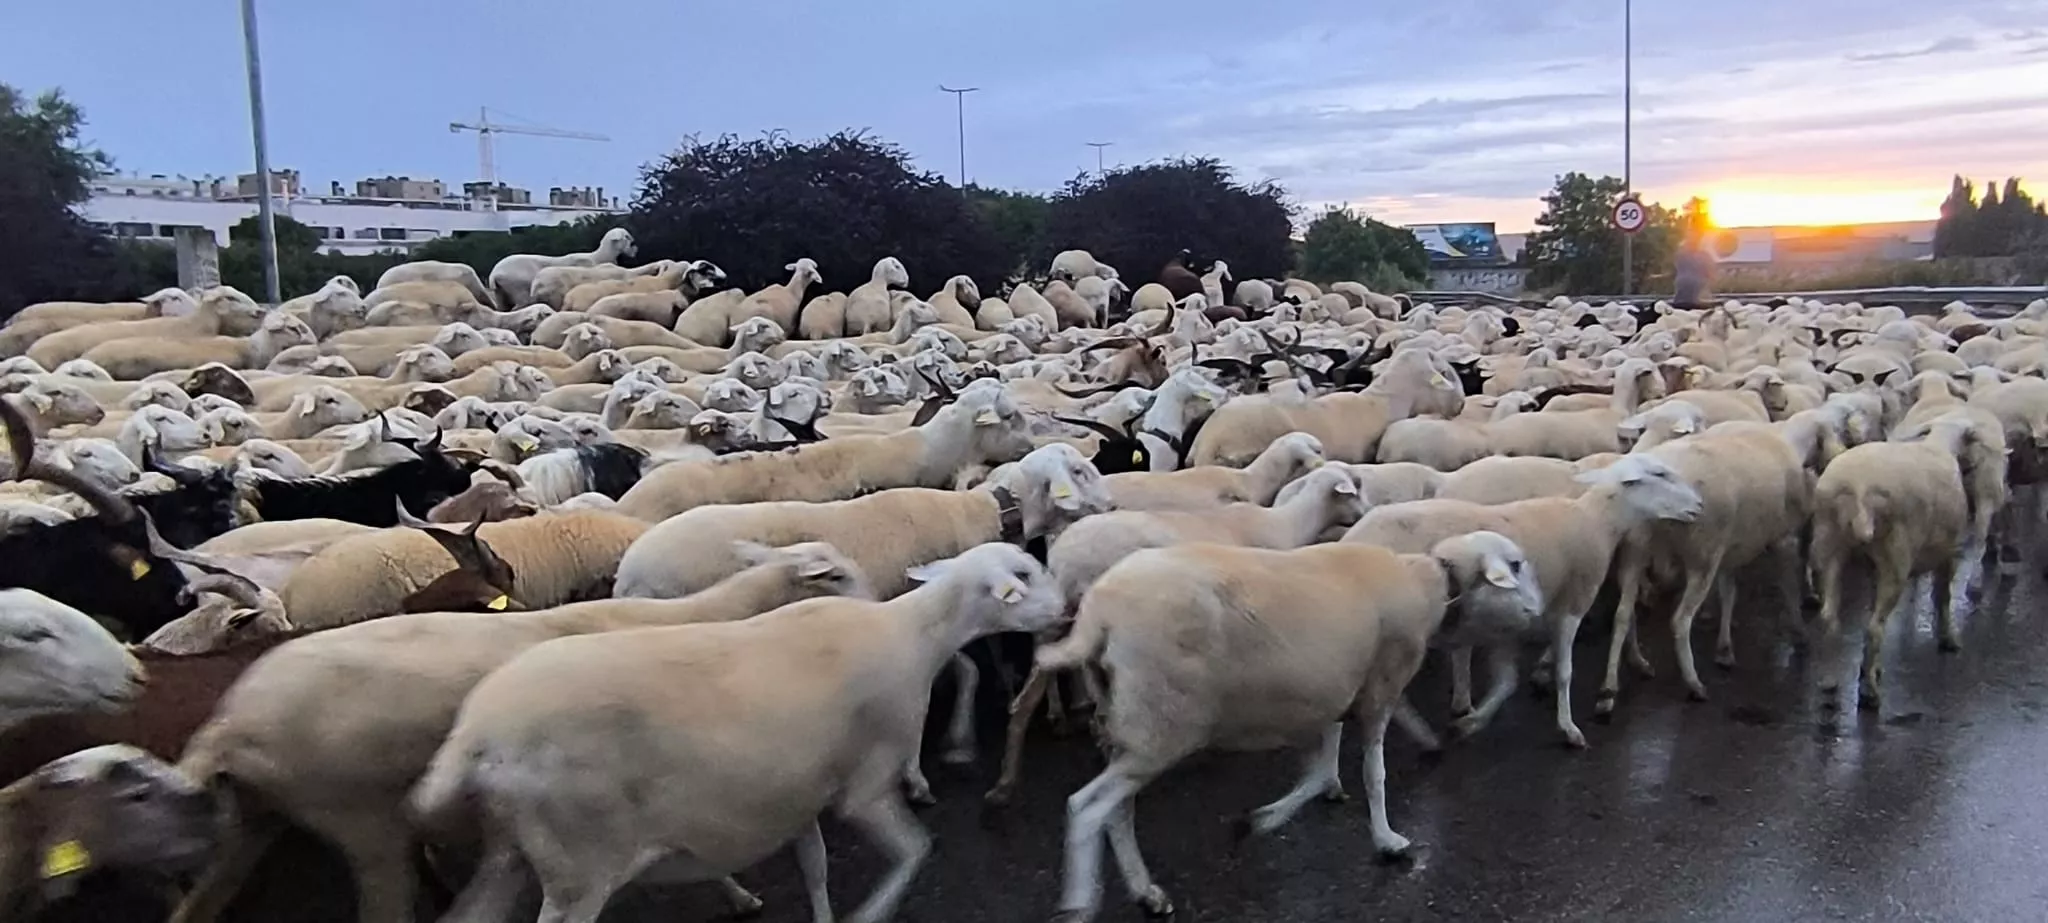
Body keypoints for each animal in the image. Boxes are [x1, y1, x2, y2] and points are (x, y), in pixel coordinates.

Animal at [410, 541, 1063, 923]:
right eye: (1024, 573)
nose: (1065, 610)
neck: (914, 632)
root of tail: (478, 732)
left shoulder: (801, 792)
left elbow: (817, 868)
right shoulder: (866, 787)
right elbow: (915, 851)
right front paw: (870, 914)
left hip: (514, 854)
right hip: (580, 866)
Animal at [487, 227, 636, 307]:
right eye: (626, 237)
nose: (635, 249)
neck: (598, 257)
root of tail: (494, 274)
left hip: (501, 294)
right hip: (519, 290)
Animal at [1035, 531, 1543, 921]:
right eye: (1517, 565)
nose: (1538, 613)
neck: (1432, 583)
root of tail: (1099, 613)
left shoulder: (1337, 690)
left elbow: (1320, 770)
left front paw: (1262, 819)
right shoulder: (1379, 685)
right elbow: (1372, 774)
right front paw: (1387, 840)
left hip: (1128, 725)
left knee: (1117, 811)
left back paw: (1146, 892)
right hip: (1162, 725)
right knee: (1086, 807)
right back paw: (1079, 904)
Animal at [1342, 453, 1704, 747]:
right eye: (1659, 473)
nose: (1699, 506)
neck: (1596, 521)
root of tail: (1351, 537)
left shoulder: (1511, 623)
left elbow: (1507, 681)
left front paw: (1471, 720)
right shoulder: (1572, 604)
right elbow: (1564, 671)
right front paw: (1569, 728)